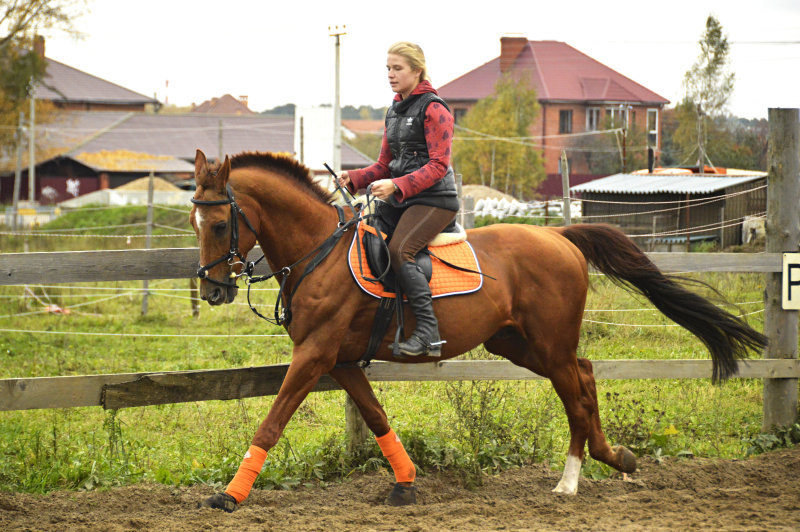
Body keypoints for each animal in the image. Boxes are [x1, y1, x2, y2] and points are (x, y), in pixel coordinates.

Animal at [189, 149, 768, 512]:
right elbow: (376, 417)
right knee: (586, 376)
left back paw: (571, 479)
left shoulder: (314, 355)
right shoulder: (341, 359)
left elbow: (271, 422)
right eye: (195, 224)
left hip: (548, 345)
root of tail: (561, 236)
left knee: (576, 394)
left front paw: (230, 495)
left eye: (218, 223)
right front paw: (405, 483)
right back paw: (614, 458)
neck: (319, 253)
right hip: (518, 344)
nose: (213, 290)